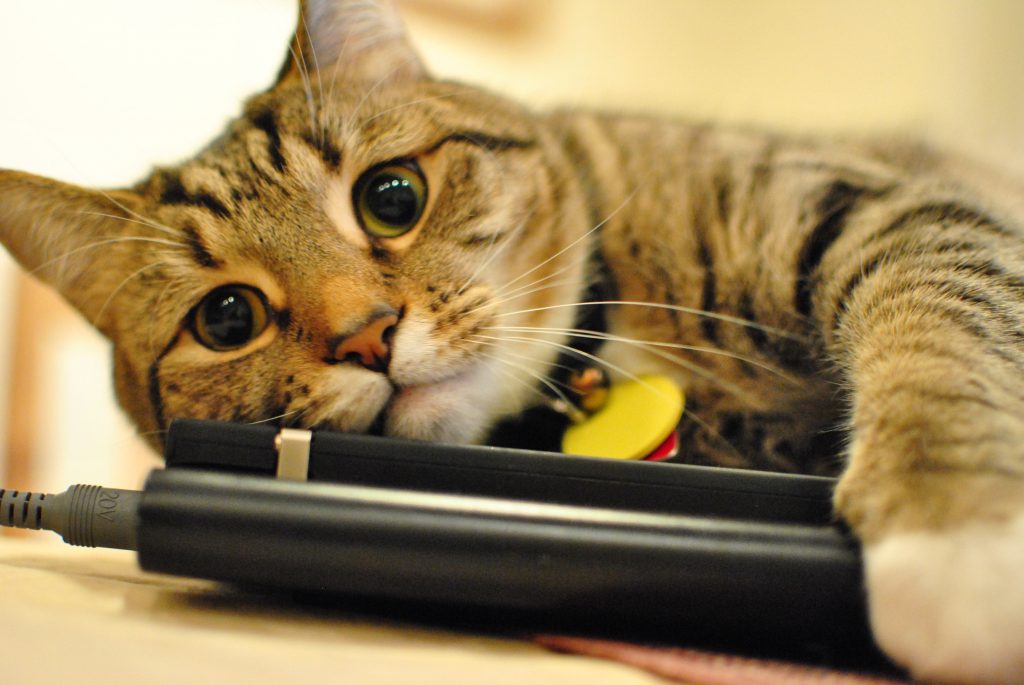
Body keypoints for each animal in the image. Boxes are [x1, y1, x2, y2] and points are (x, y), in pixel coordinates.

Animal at [2, 2, 1024, 679]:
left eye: (392, 195)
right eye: (226, 319)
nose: (368, 337)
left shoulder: (895, 212)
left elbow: (942, 325)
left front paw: (956, 528)